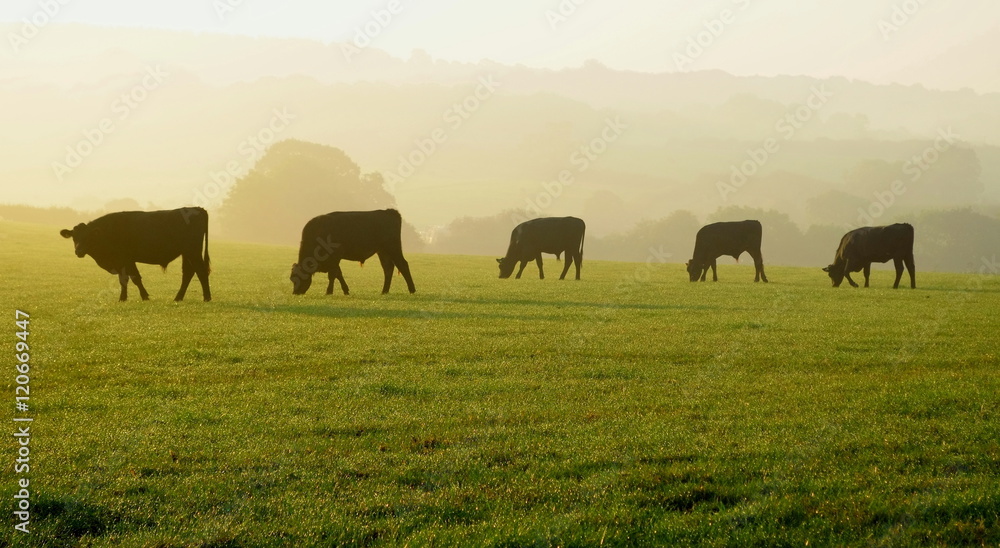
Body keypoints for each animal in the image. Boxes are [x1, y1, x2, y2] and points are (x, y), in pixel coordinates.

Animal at [59, 207, 212, 302]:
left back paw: (207, 298)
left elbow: (130, 279)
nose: (78, 251)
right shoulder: (126, 261)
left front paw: (133, 297)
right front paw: (132, 297)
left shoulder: (124, 260)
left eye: (88, 237)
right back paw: (178, 298)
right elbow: (129, 279)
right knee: (188, 273)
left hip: (193, 252)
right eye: (74, 237)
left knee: (201, 272)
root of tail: (197, 208)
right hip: (187, 253)